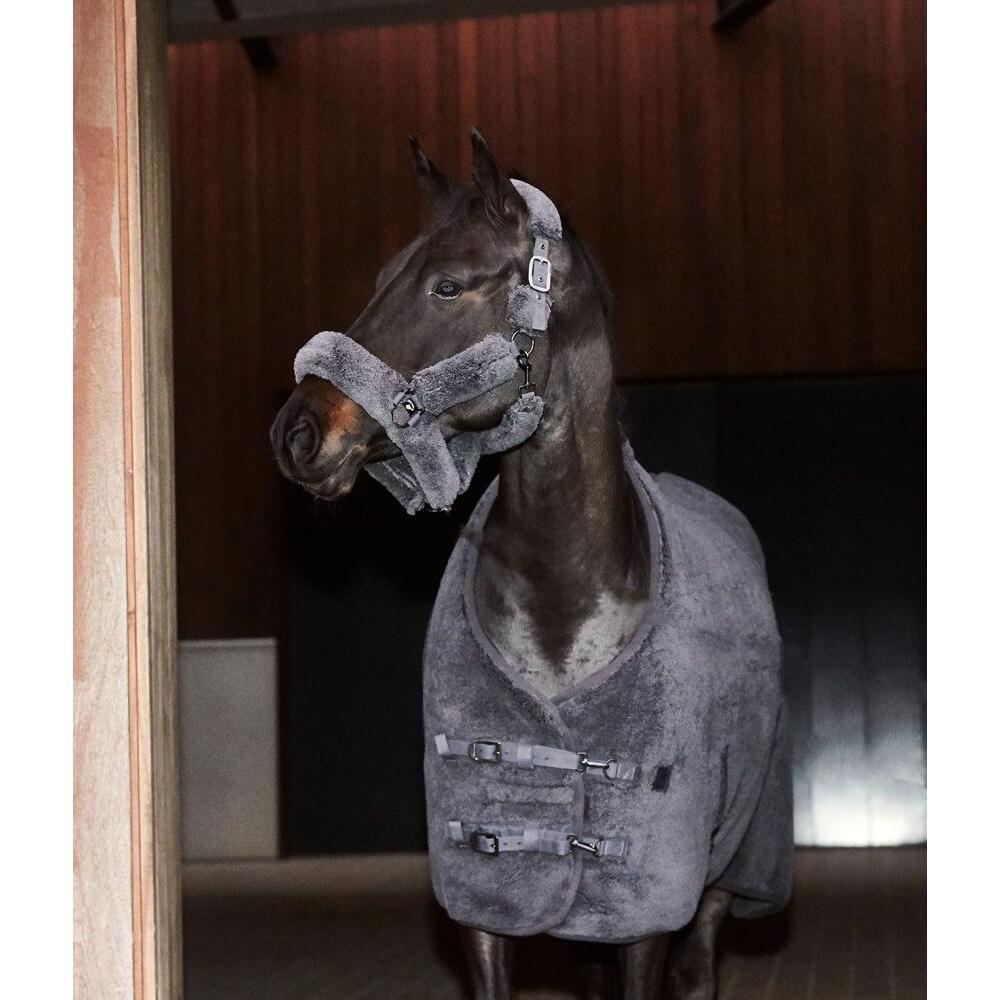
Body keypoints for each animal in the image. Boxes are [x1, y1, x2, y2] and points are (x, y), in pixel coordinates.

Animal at [271, 129, 791, 1000]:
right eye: (380, 279)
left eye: (448, 284)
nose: (299, 434)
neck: (564, 606)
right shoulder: (486, 898)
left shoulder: (644, 904)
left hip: (727, 870)